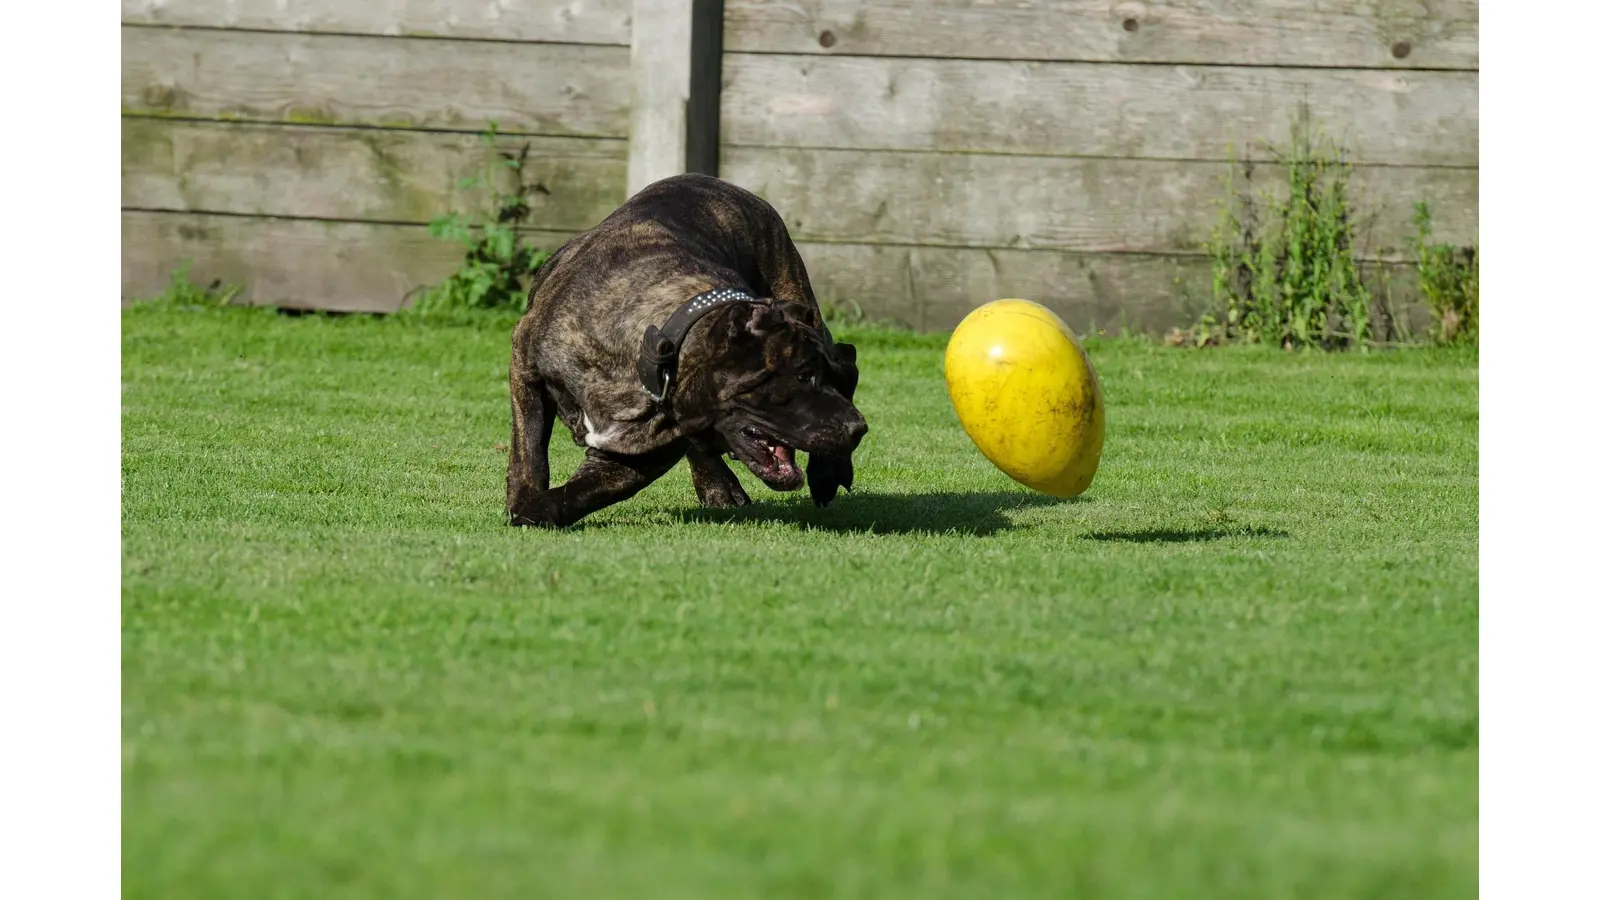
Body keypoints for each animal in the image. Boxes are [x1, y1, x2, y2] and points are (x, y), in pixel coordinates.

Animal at [508, 171, 864, 525]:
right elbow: (530, 447)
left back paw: (824, 474)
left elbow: (588, 490)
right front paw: (526, 498)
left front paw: (536, 508)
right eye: (802, 375)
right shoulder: (525, 365)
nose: (858, 427)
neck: (659, 348)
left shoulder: (644, 451)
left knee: (848, 360)